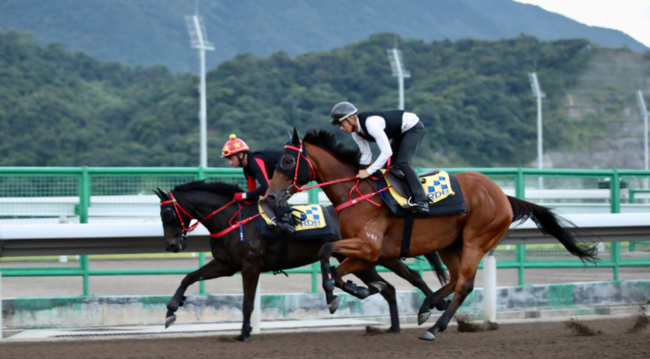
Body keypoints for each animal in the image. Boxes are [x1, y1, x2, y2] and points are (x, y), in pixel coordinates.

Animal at [153, 181, 448, 342]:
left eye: (167, 214)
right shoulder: (226, 266)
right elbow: (188, 277)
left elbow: (247, 303)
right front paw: (170, 311)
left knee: (413, 277)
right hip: (360, 260)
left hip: (381, 255)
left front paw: (244, 332)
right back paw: (393, 324)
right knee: (387, 288)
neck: (232, 221)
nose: (171, 246)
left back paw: (433, 306)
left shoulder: (250, 266)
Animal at [260, 129, 596, 340]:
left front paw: (343, 294)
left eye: (287, 160)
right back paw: (427, 307)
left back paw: (434, 328)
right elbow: (333, 264)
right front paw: (354, 291)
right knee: (454, 279)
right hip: (450, 244)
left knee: (464, 285)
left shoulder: (369, 248)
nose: (271, 197)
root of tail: (503, 195)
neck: (355, 193)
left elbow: (327, 254)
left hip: (477, 240)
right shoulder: (371, 253)